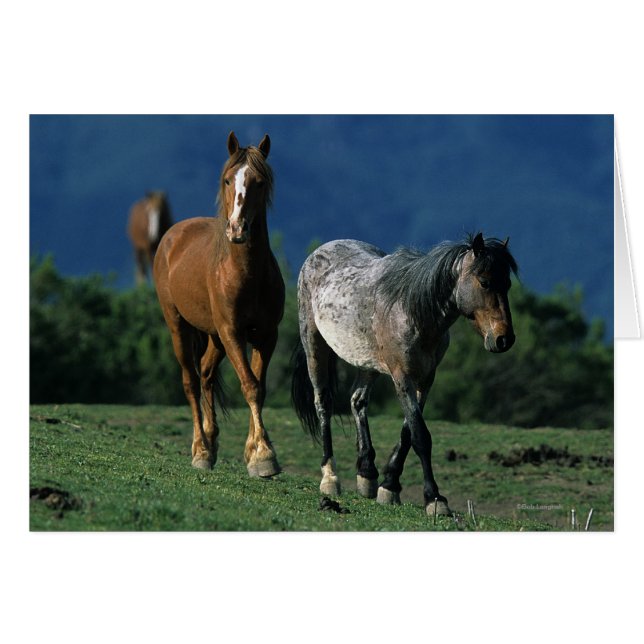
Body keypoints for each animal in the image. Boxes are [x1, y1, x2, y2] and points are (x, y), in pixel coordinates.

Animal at [153, 132, 285, 477]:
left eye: (259, 182)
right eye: (228, 180)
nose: (237, 228)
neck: (246, 273)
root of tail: (172, 235)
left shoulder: (266, 335)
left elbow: (259, 387)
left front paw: (254, 452)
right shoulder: (232, 332)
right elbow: (249, 385)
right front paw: (264, 455)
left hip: (214, 337)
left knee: (206, 373)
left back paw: (210, 445)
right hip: (179, 326)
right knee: (190, 381)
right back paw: (200, 448)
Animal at [291, 233, 517, 516]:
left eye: (507, 284)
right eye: (485, 282)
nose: (504, 339)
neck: (411, 310)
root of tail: (319, 252)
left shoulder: (426, 379)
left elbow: (407, 433)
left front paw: (389, 485)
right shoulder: (402, 377)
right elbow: (420, 436)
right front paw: (434, 499)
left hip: (368, 363)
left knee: (357, 400)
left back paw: (367, 473)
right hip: (314, 345)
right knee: (323, 403)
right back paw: (330, 478)